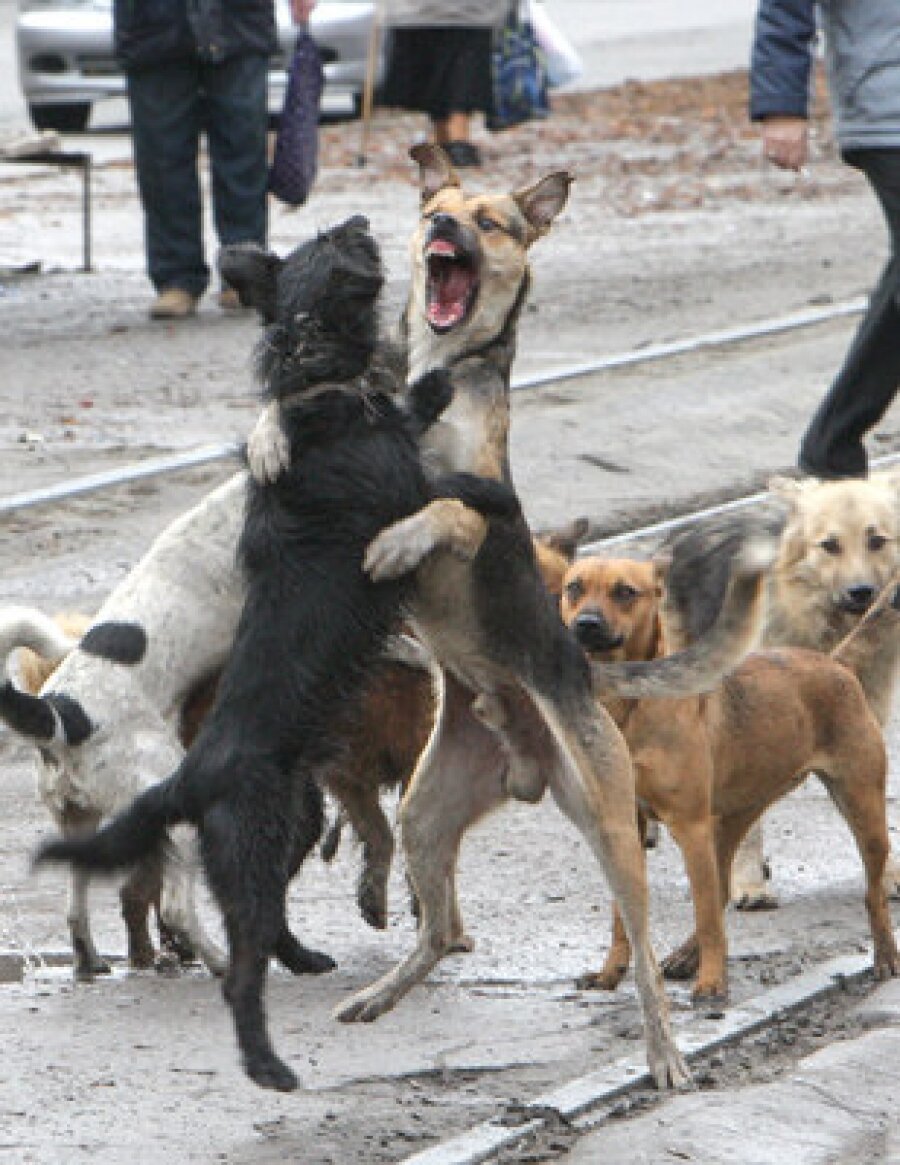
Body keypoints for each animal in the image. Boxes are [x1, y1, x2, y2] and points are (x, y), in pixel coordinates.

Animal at [38, 216, 516, 1090]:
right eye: (333, 240)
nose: (360, 219)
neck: (323, 384)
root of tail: (187, 777)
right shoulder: (400, 486)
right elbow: (446, 483)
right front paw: (459, 435)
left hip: (287, 814)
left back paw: (292, 961)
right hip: (255, 842)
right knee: (229, 952)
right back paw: (265, 1054)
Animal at [561, 554, 898, 1001]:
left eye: (624, 591)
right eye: (574, 587)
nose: (586, 624)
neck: (629, 706)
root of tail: (835, 663)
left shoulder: (689, 825)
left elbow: (706, 915)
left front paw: (712, 982)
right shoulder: (626, 827)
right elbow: (624, 919)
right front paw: (610, 973)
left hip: (862, 809)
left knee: (873, 894)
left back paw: (886, 955)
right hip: (733, 819)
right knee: (719, 889)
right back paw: (686, 956)